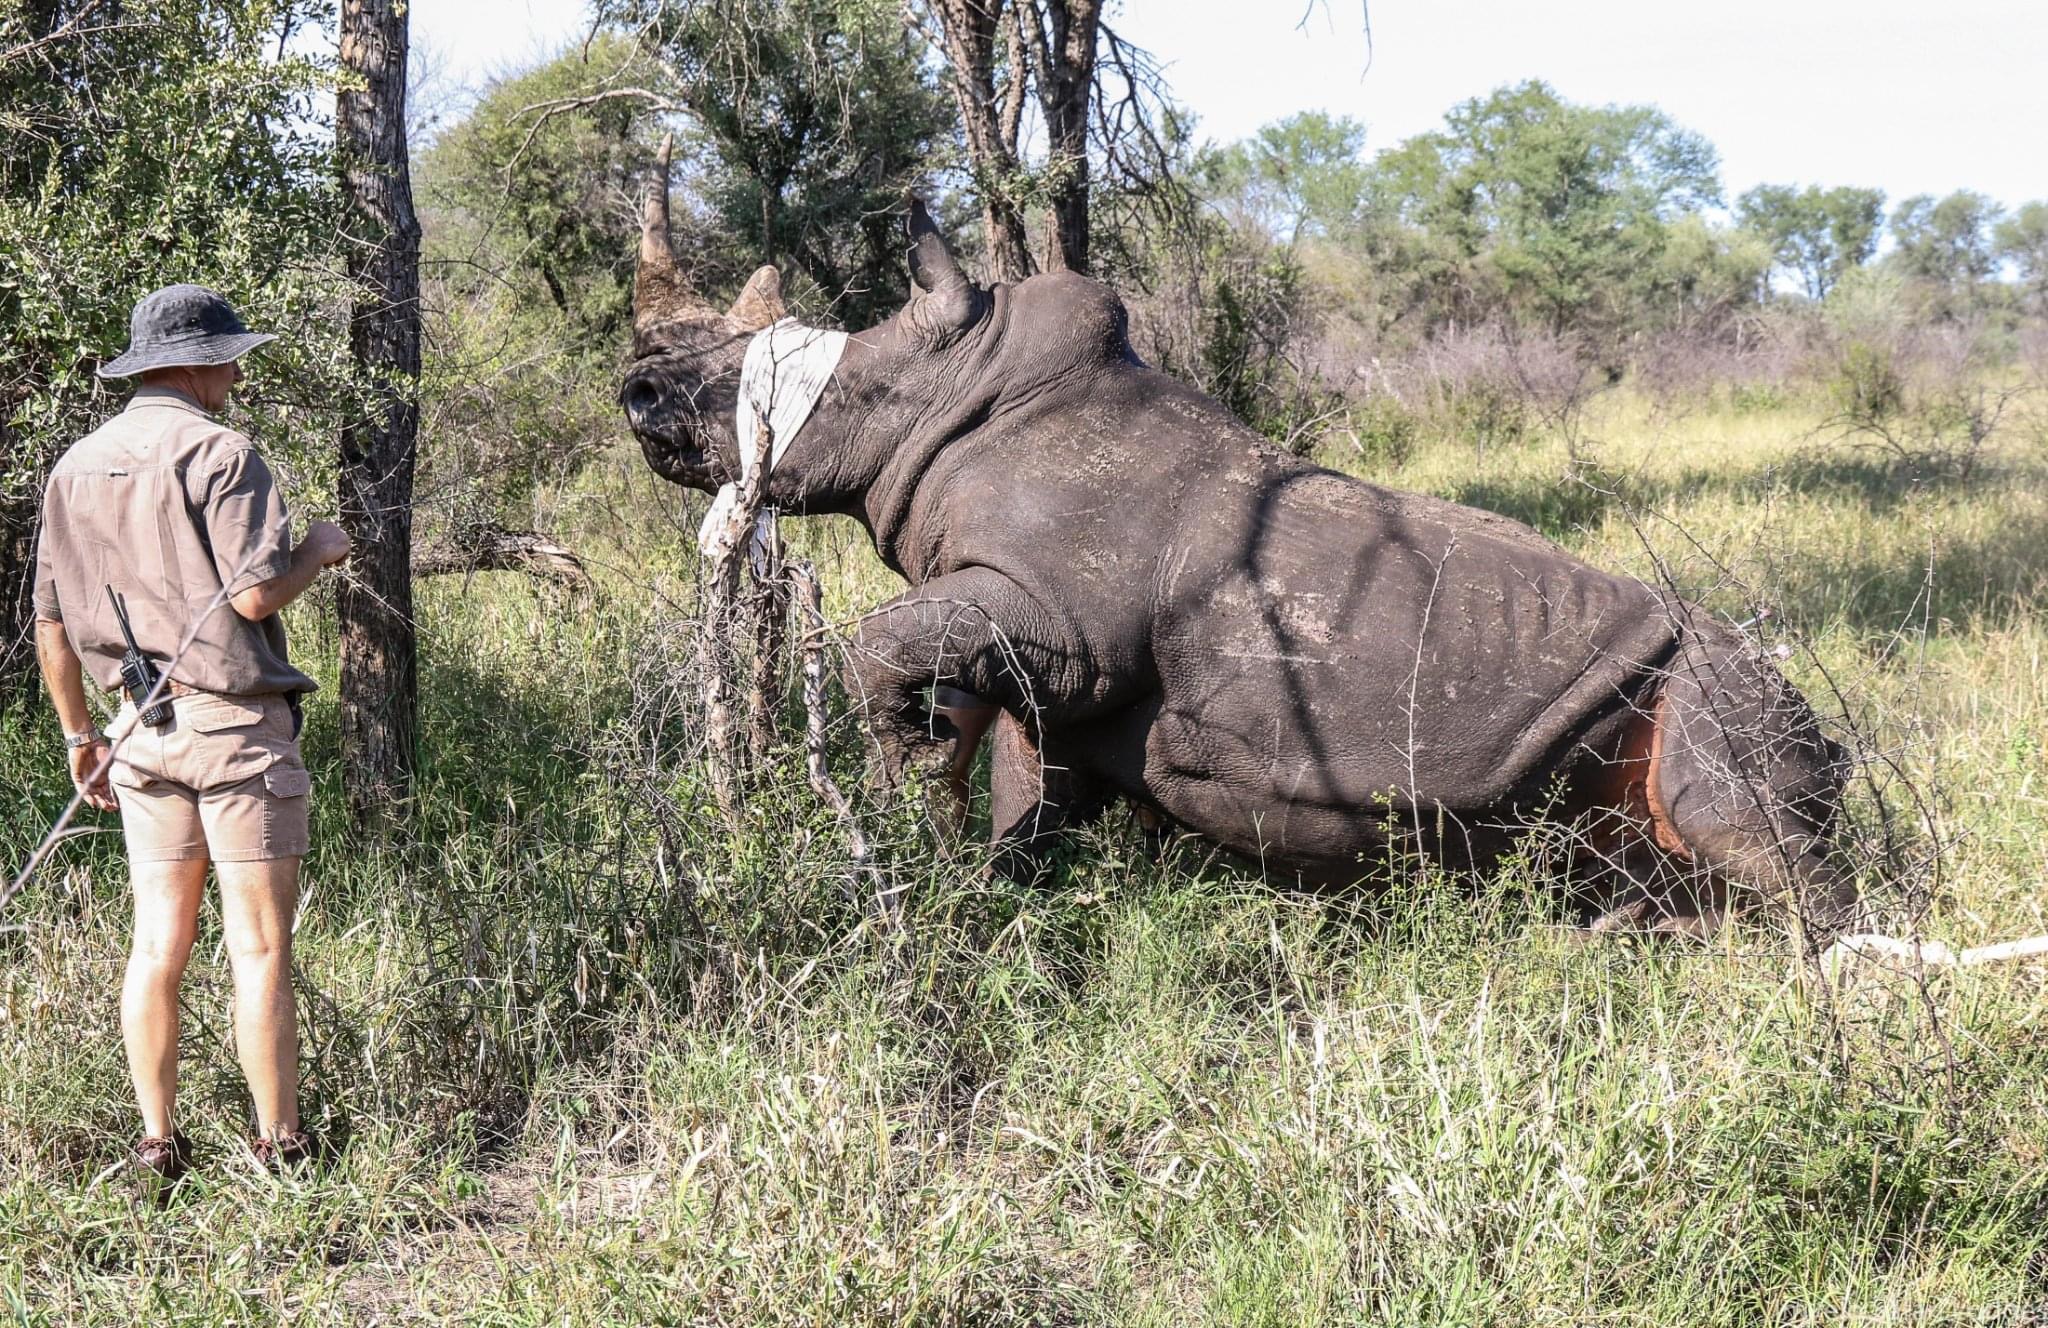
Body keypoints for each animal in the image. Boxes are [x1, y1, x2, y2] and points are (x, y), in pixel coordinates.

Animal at [620, 170, 1854, 936]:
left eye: (820, 390)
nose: (638, 395)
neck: (955, 388)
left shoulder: (1061, 625)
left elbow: (884, 645)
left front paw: (903, 777)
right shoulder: (1038, 661)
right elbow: (1024, 785)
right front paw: (980, 882)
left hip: (1722, 679)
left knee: (1751, 827)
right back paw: (1626, 937)